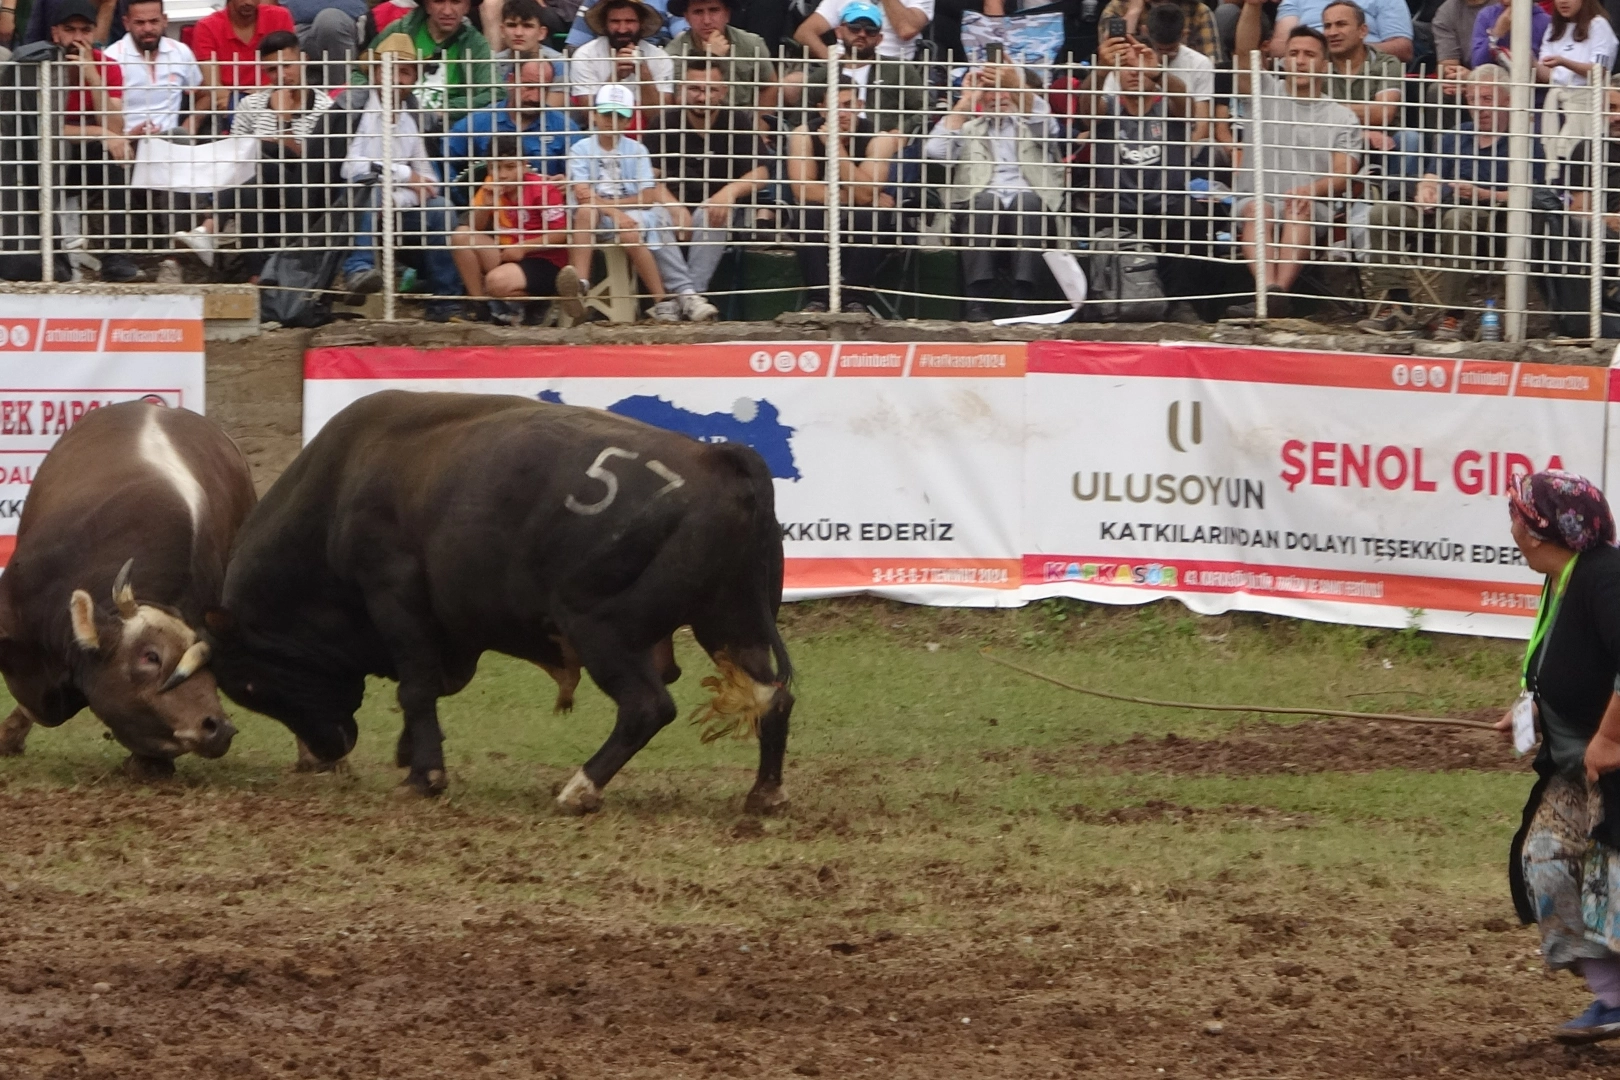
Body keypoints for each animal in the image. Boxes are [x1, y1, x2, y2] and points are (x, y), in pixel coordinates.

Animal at [203, 390, 795, 814]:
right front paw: (410, 754)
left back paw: (579, 789)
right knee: (772, 698)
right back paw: (763, 794)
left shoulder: (393, 596)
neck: (341, 487)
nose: (326, 753)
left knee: (648, 706)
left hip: (602, 628)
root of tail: (715, 457)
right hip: (732, 624)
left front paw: (425, 775)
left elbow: (416, 686)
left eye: (252, 685)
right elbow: (425, 686)